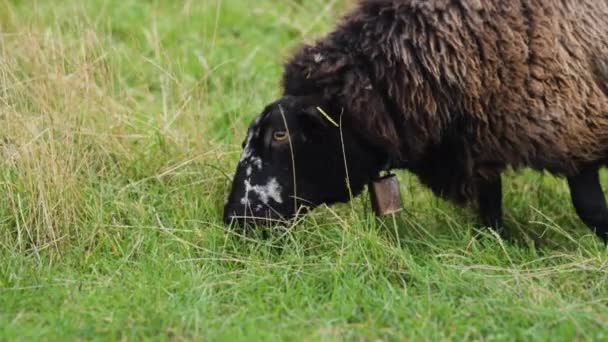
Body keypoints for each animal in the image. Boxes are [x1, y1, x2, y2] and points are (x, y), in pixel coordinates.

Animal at [223, 0, 608, 240]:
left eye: (280, 135)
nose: (234, 219)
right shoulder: (480, 144)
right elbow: (490, 210)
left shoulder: (576, 127)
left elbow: (590, 209)